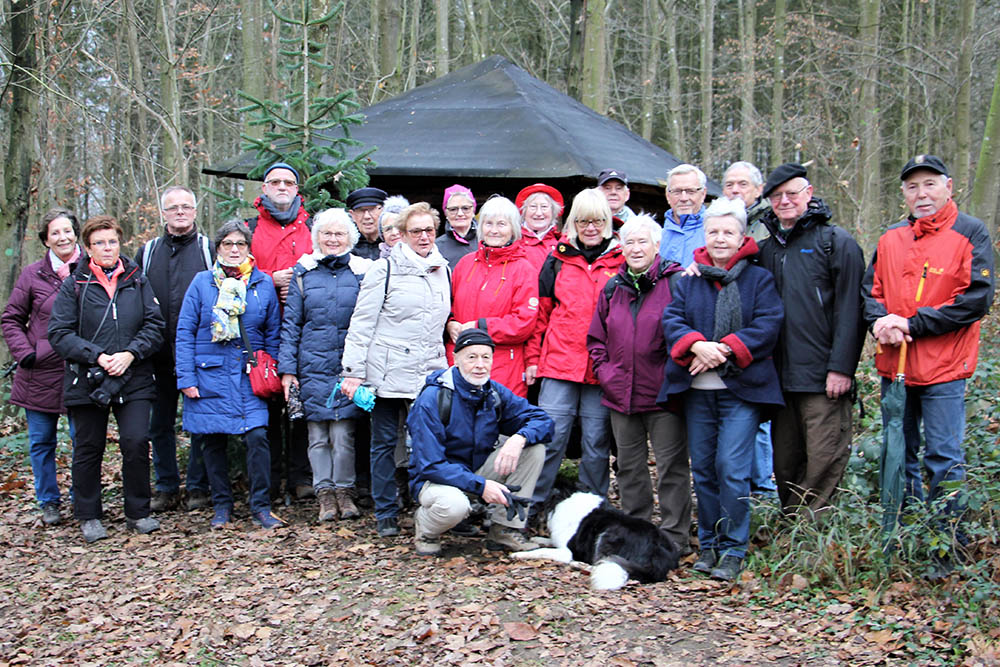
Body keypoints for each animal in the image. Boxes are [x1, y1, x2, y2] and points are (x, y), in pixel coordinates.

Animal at [516, 488, 680, 592]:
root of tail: (657, 553)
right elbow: (546, 542)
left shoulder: (567, 552)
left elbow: (541, 551)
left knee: (602, 562)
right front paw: (536, 538)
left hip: (608, 535)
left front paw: (519, 554)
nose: (532, 518)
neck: (565, 500)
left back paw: (578, 564)